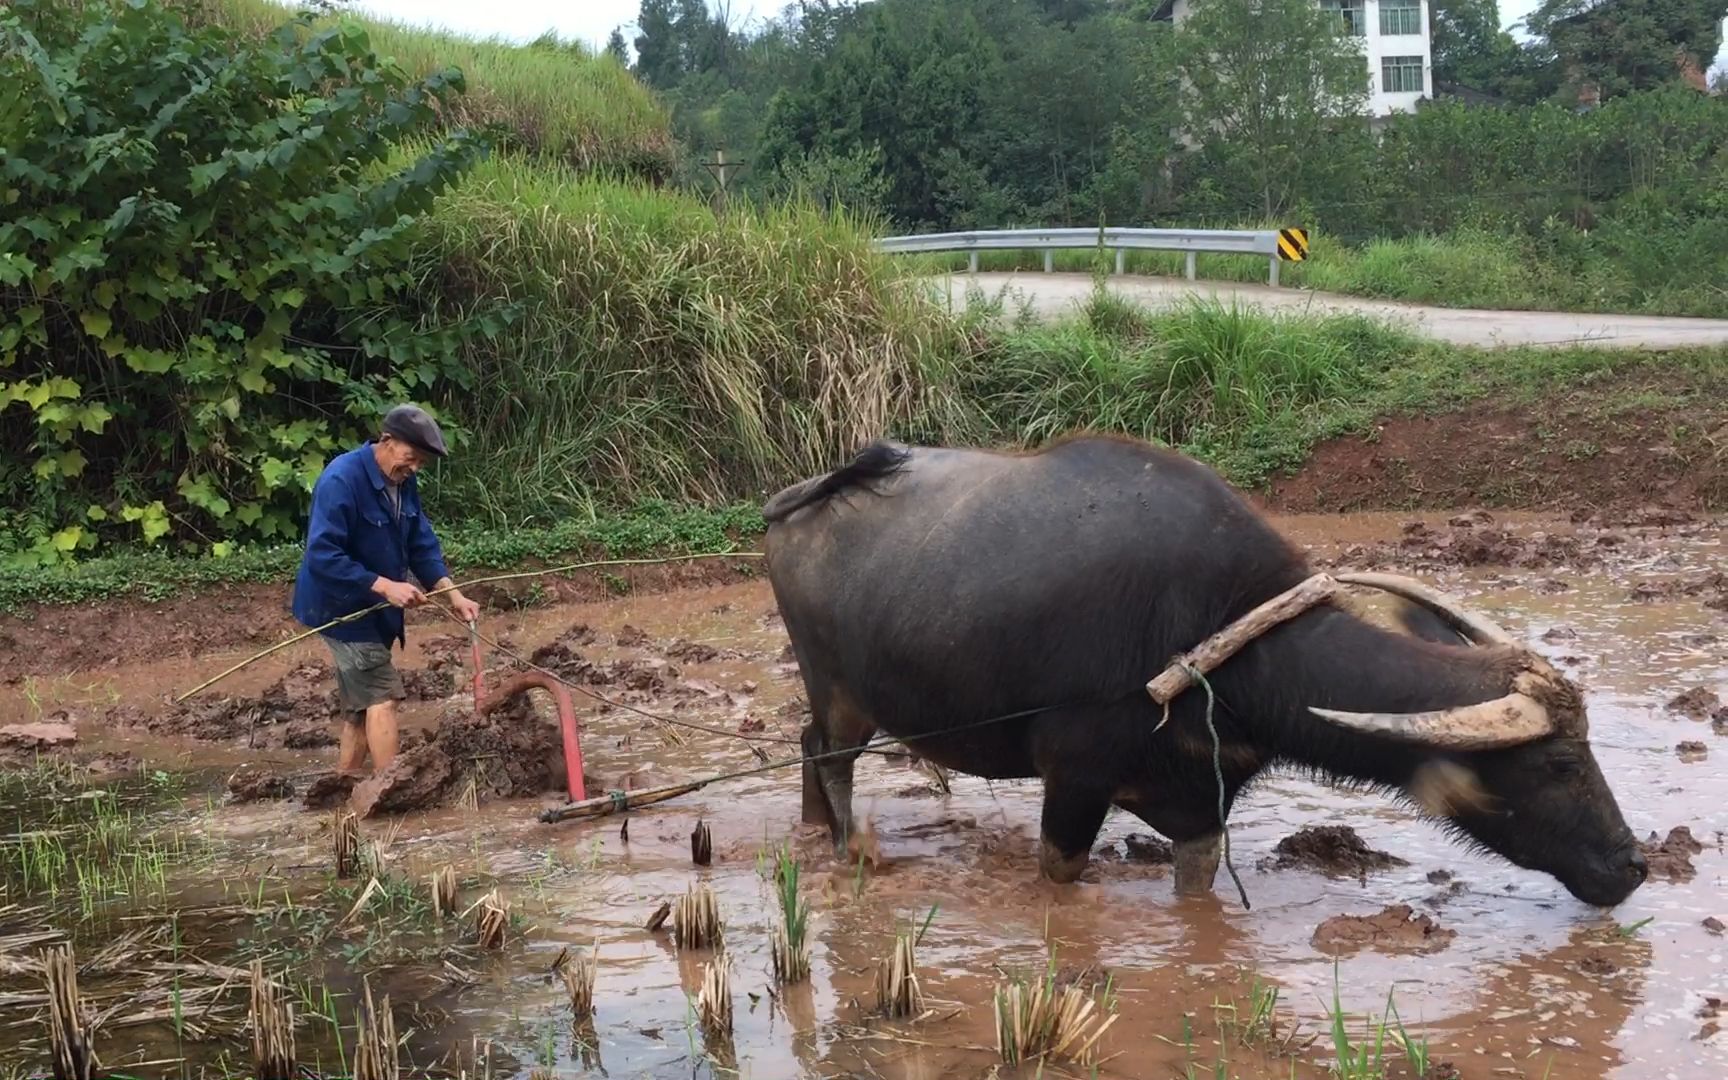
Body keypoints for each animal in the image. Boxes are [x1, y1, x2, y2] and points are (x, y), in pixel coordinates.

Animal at [767, 433, 1645, 905]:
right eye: (1561, 763)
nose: (1633, 866)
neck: (1214, 640)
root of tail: (796, 501)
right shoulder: (1073, 785)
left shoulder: (1199, 810)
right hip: (839, 692)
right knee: (831, 756)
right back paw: (845, 848)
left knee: (807, 751)